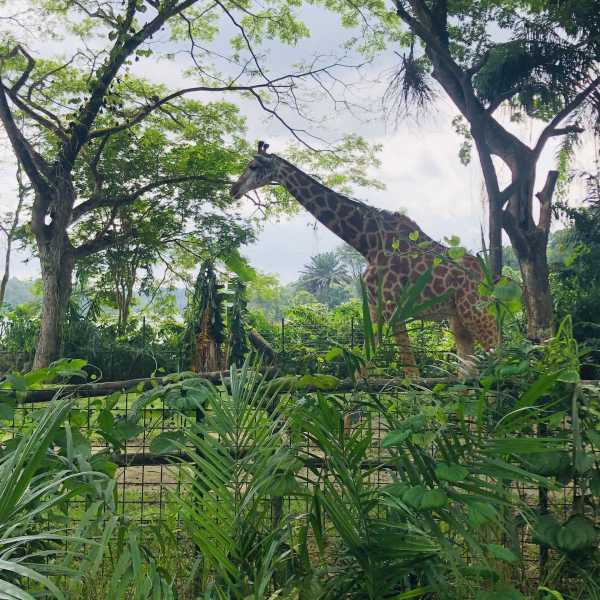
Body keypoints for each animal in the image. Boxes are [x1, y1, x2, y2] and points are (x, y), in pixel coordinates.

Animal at [230, 142, 496, 376]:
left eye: (253, 165)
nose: (233, 189)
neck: (366, 243)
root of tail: (490, 278)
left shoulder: (393, 308)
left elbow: (411, 375)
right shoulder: (376, 308)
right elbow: (362, 369)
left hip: (476, 311)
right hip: (458, 319)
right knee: (469, 375)